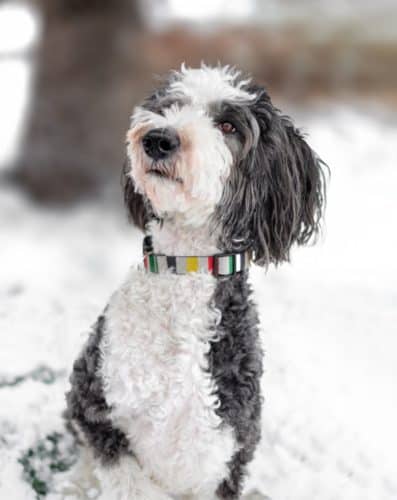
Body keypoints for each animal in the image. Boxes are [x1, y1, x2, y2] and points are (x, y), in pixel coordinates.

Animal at [64, 64, 324, 498]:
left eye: (228, 125)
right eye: (170, 106)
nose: (158, 139)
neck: (183, 265)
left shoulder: (223, 452)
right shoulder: (97, 408)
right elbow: (127, 478)